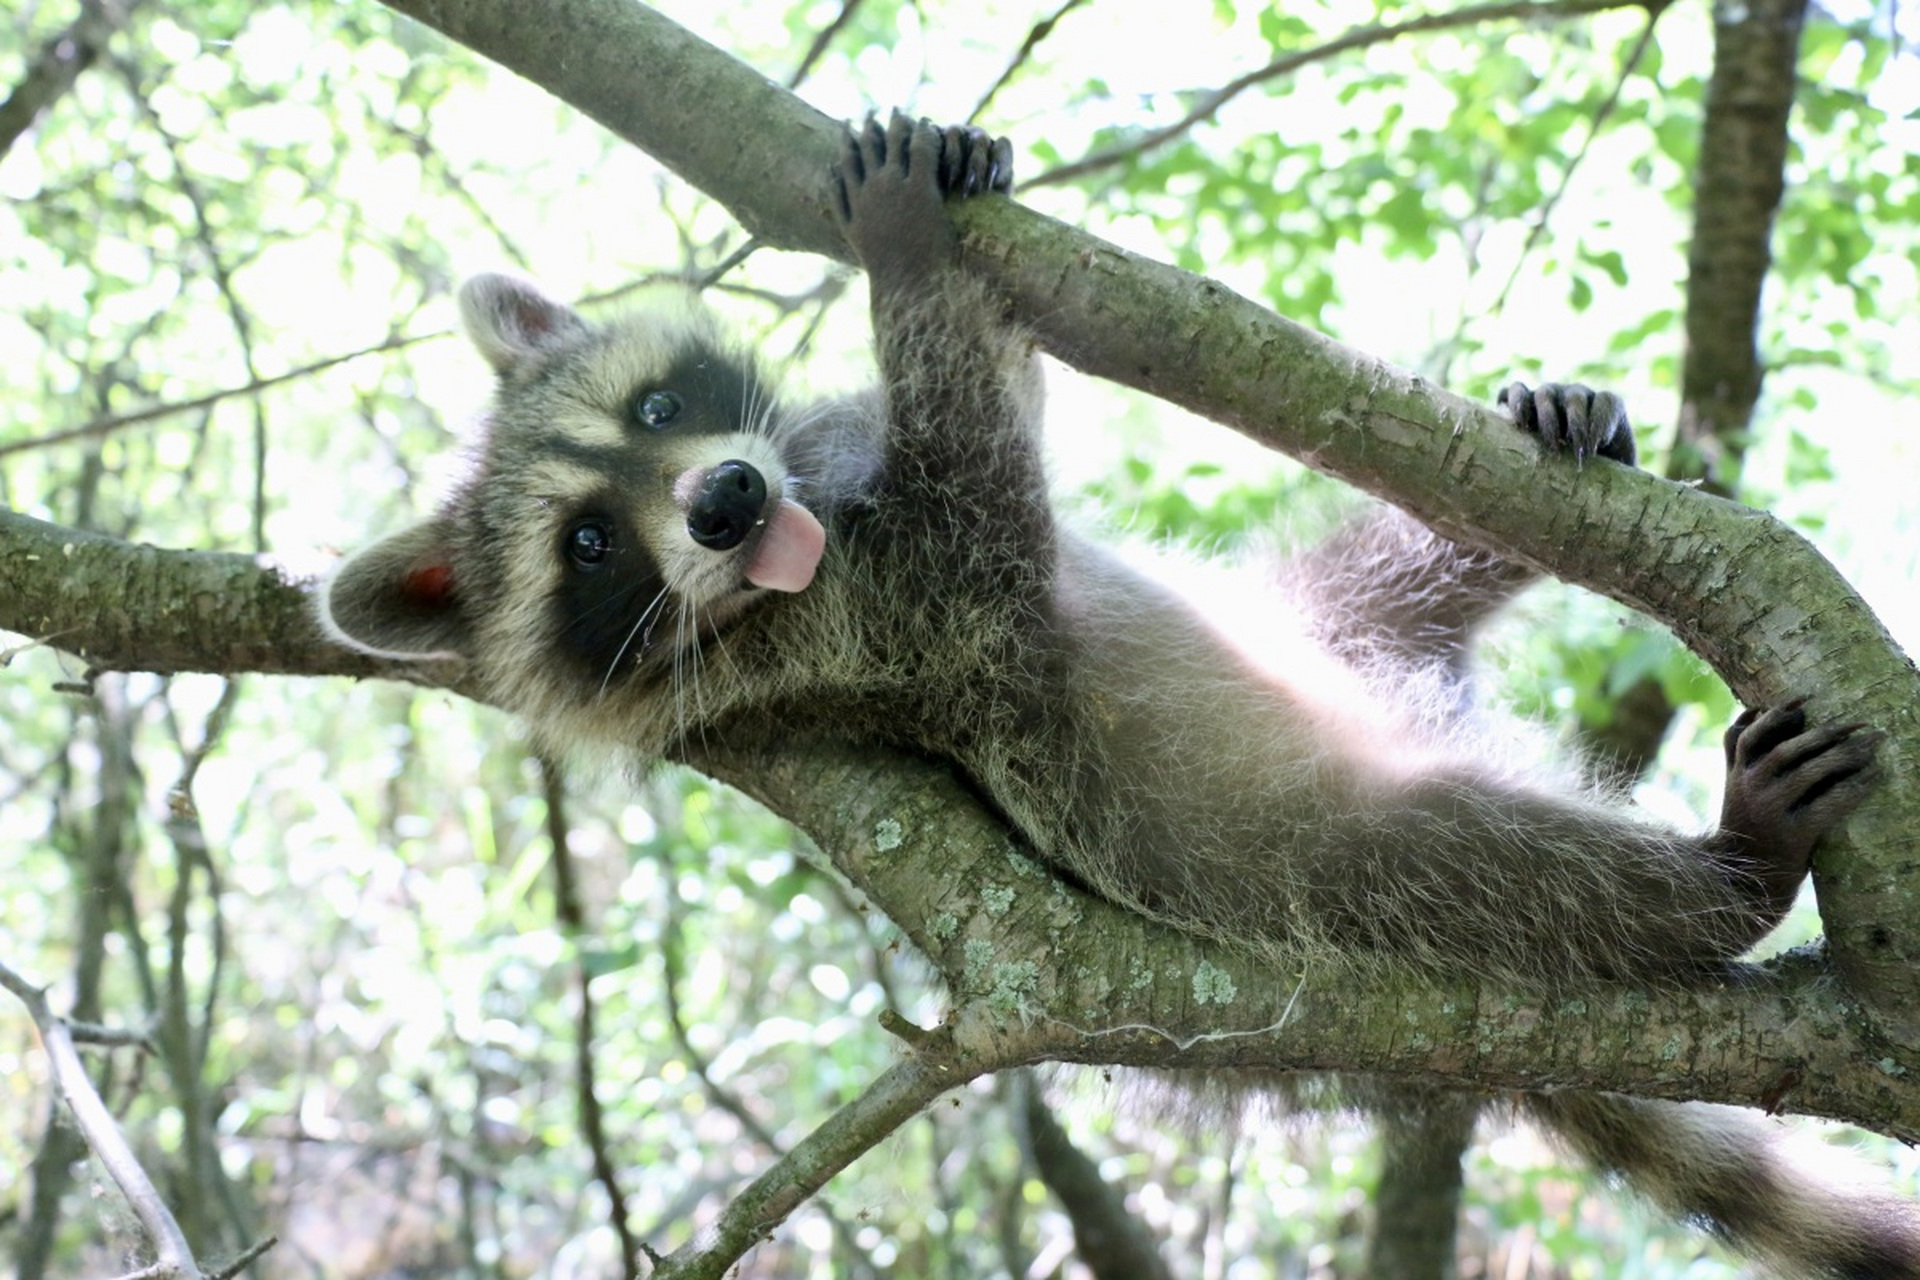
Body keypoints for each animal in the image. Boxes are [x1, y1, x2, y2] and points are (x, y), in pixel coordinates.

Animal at [314, 115, 1904, 1274]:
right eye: (588, 545)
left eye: (654, 411)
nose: (723, 500)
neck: (785, 551)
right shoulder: (881, 635)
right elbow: (987, 504)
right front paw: (903, 257)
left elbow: (979, 423)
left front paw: (953, 201)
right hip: (1326, 866)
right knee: (1508, 866)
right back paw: (1727, 873)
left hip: (1317, 622)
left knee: (1393, 572)